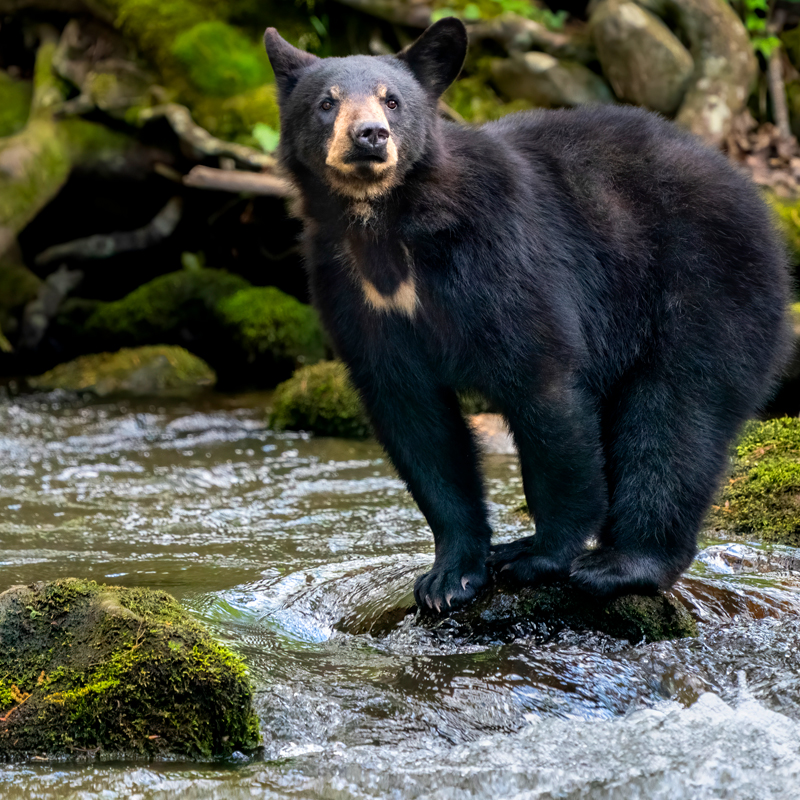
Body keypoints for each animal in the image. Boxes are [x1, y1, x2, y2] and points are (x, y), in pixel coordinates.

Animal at [266, 20, 792, 612]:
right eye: (327, 102)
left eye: (392, 100)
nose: (370, 136)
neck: (386, 226)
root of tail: (758, 200)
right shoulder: (352, 293)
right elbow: (416, 421)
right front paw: (449, 576)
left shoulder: (499, 253)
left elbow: (543, 385)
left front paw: (540, 556)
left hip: (705, 285)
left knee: (678, 414)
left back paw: (621, 564)